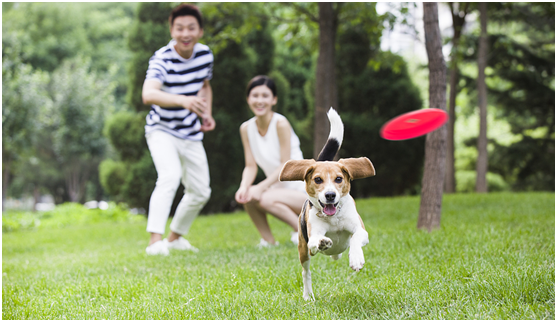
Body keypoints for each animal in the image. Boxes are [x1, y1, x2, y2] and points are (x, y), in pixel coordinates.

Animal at [278, 109, 374, 302]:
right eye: (318, 180)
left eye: (338, 179)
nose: (330, 195)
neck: (334, 218)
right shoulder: (312, 238)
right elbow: (316, 241)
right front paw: (323, 242)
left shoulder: (361, 231)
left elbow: (356, 238)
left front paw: (356, 258)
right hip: (303, 250)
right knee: (306, 272)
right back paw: (308, 296)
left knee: (339, 252)